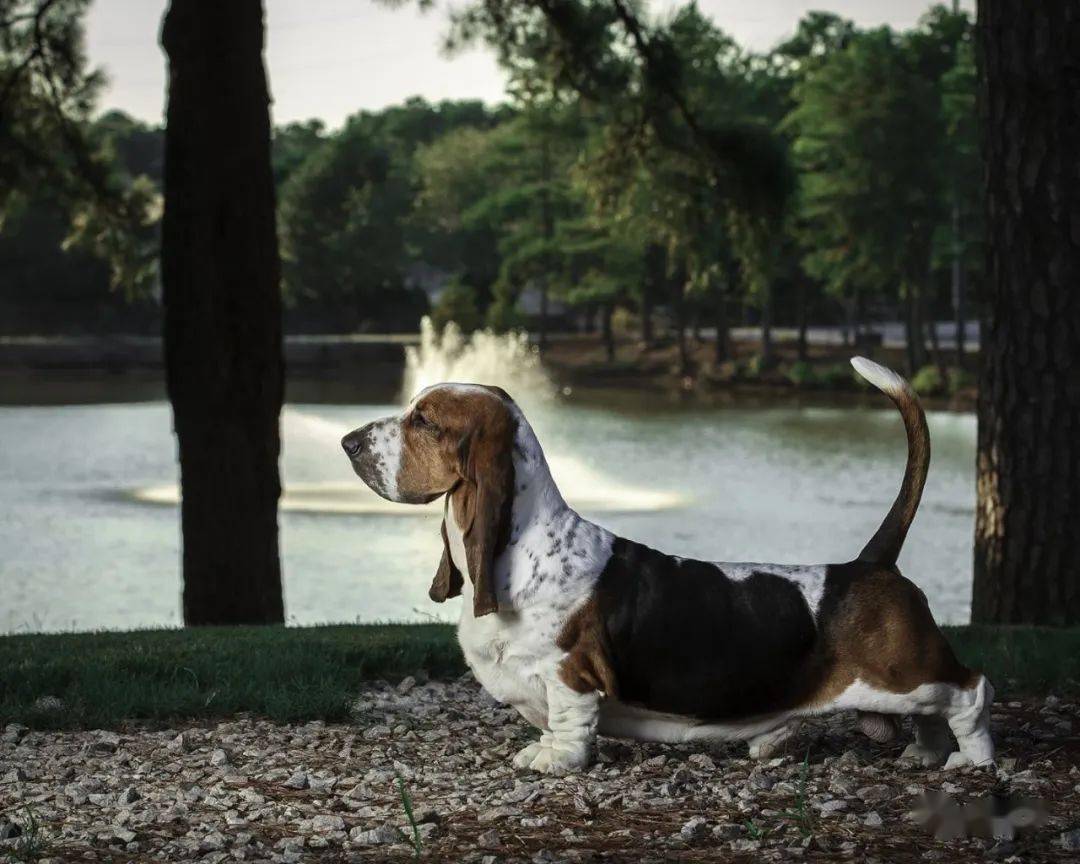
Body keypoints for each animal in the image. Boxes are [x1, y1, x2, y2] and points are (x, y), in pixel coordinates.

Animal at [341, 358, 989, 777]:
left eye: (425, 421)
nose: (347, 441)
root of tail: (870, 564)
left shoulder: (569, 673)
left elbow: (569, 722)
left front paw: (557, 763)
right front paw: (539, 751)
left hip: (907, 674)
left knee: (970, 691)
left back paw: (973, 761)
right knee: (934, 716)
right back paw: (924, 753)